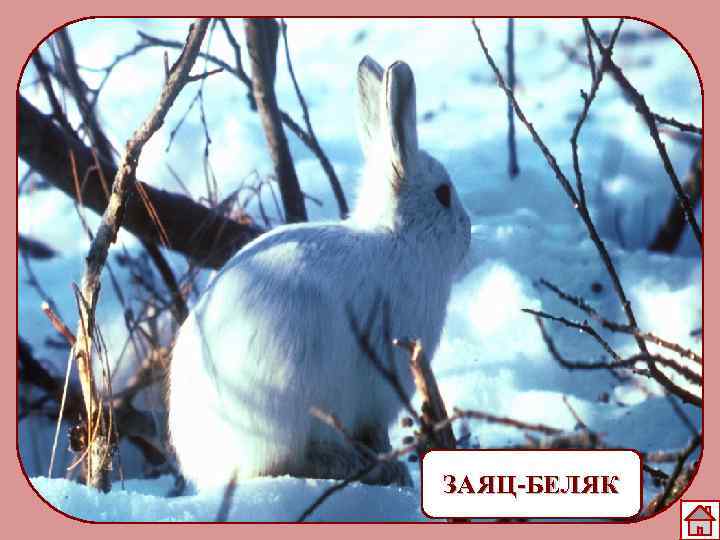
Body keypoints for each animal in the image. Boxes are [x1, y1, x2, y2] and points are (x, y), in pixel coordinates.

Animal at [168, 56, 471, 491]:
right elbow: (376, 430)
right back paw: (358, 465)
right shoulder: (379, 387)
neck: (398, 237)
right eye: (443, 195)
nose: (468, 232)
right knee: (287, 463)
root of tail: (209, 463)